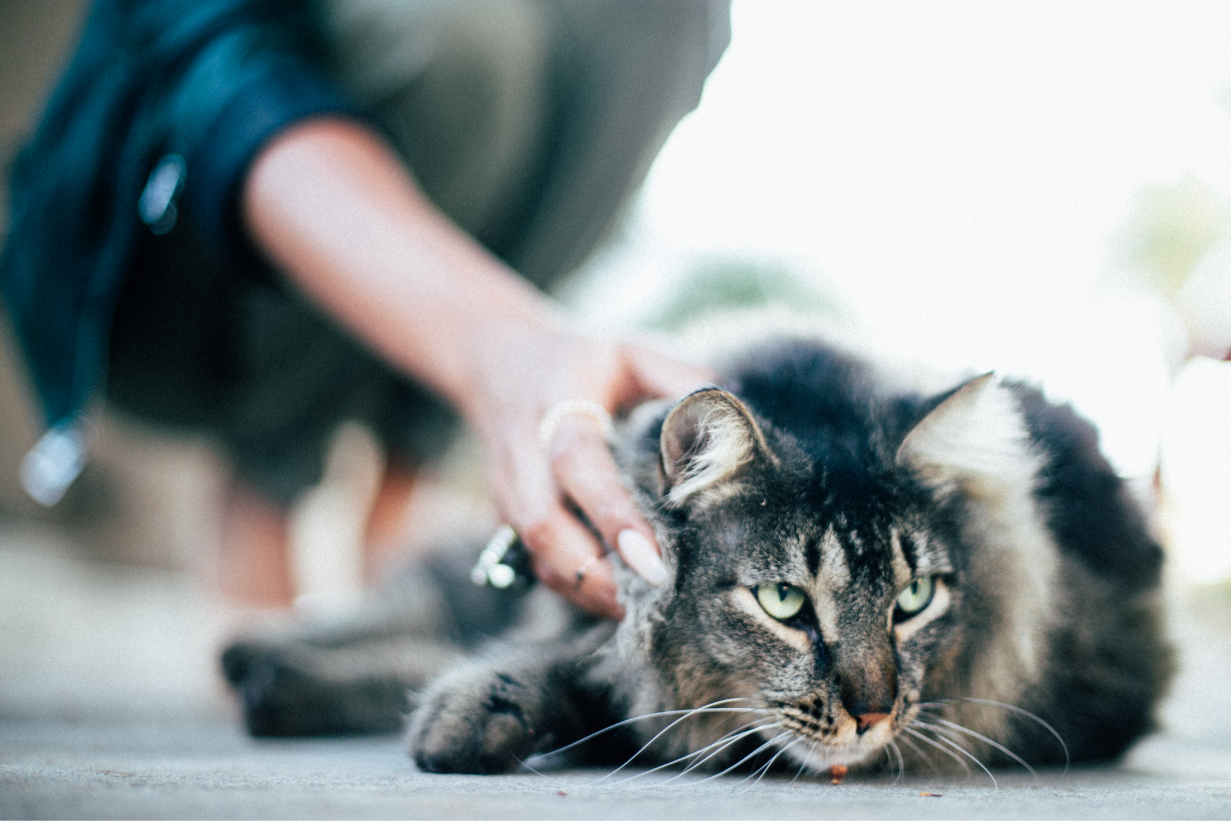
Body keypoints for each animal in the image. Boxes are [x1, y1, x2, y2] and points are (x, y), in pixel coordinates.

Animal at [221, 332, 1171, 777]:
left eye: (914, 600)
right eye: (784, 602)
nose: (871, 714)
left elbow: (587, 679)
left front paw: (471, 715)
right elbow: (583, 653)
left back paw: (274, 684)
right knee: (411, 605)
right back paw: (252, 653)